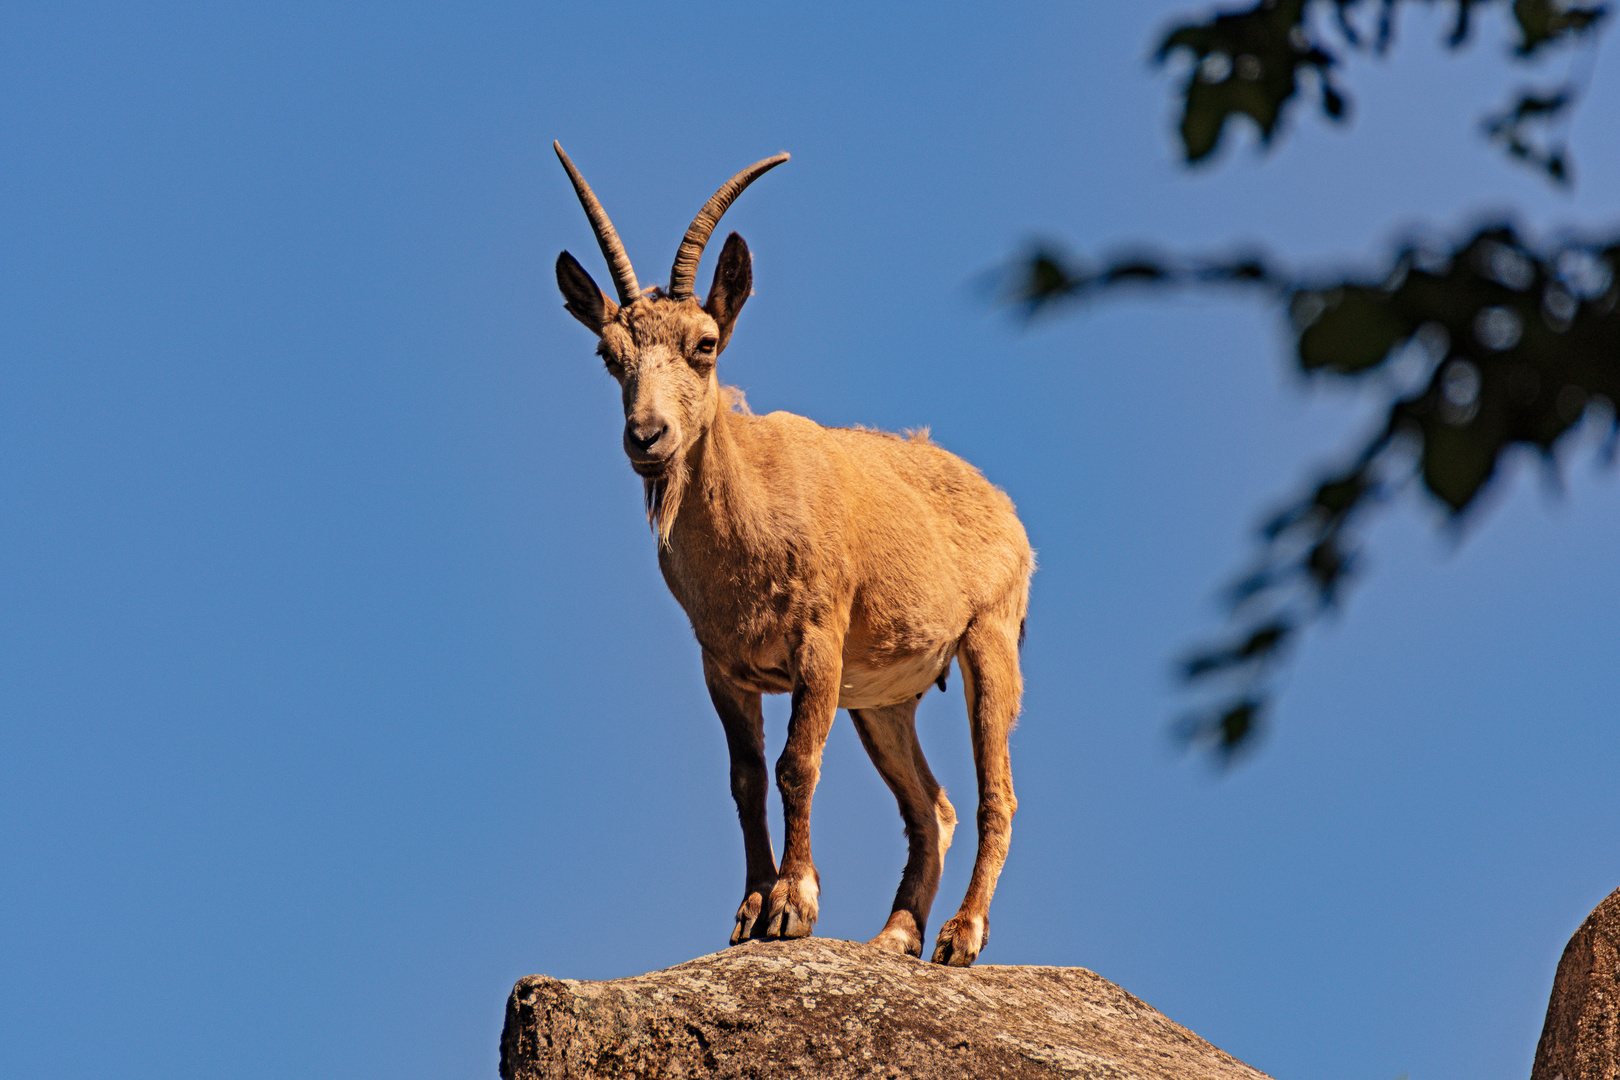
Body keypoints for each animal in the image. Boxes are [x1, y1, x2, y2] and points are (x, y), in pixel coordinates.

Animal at [550, 141, 1030, 965]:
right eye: (609, 355)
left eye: (705, 346)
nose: (648, 437)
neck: (747, 532)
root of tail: (1004, 506)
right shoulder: (723, 665)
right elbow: (744, 776)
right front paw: (748, 910)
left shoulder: (818, 640)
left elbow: (795, 764)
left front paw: (791, 906)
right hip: (884, 698)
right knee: (930, 806)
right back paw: (893, 935)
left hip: (988, 639)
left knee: (994, 793)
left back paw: (961, 937)